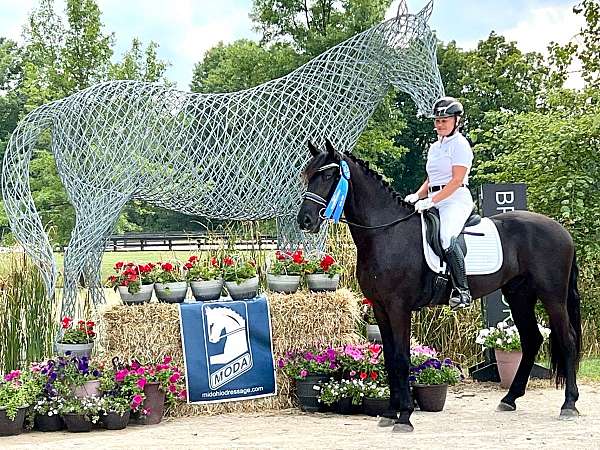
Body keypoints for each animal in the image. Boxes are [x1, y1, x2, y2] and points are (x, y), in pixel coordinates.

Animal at [298, 141, 580, 432]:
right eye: (308, 176)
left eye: (328, 176)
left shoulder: (399, 308)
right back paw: (509, 399)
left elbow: (402, 359)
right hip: (518, 294)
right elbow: (389, 359)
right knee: (531, 339)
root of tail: (561, 230)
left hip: (552, 296)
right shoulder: (380, 308)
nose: (305, 220)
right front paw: (389, 413)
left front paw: (405, 416)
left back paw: (568, 405)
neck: (385, 234)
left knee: (567, 340)